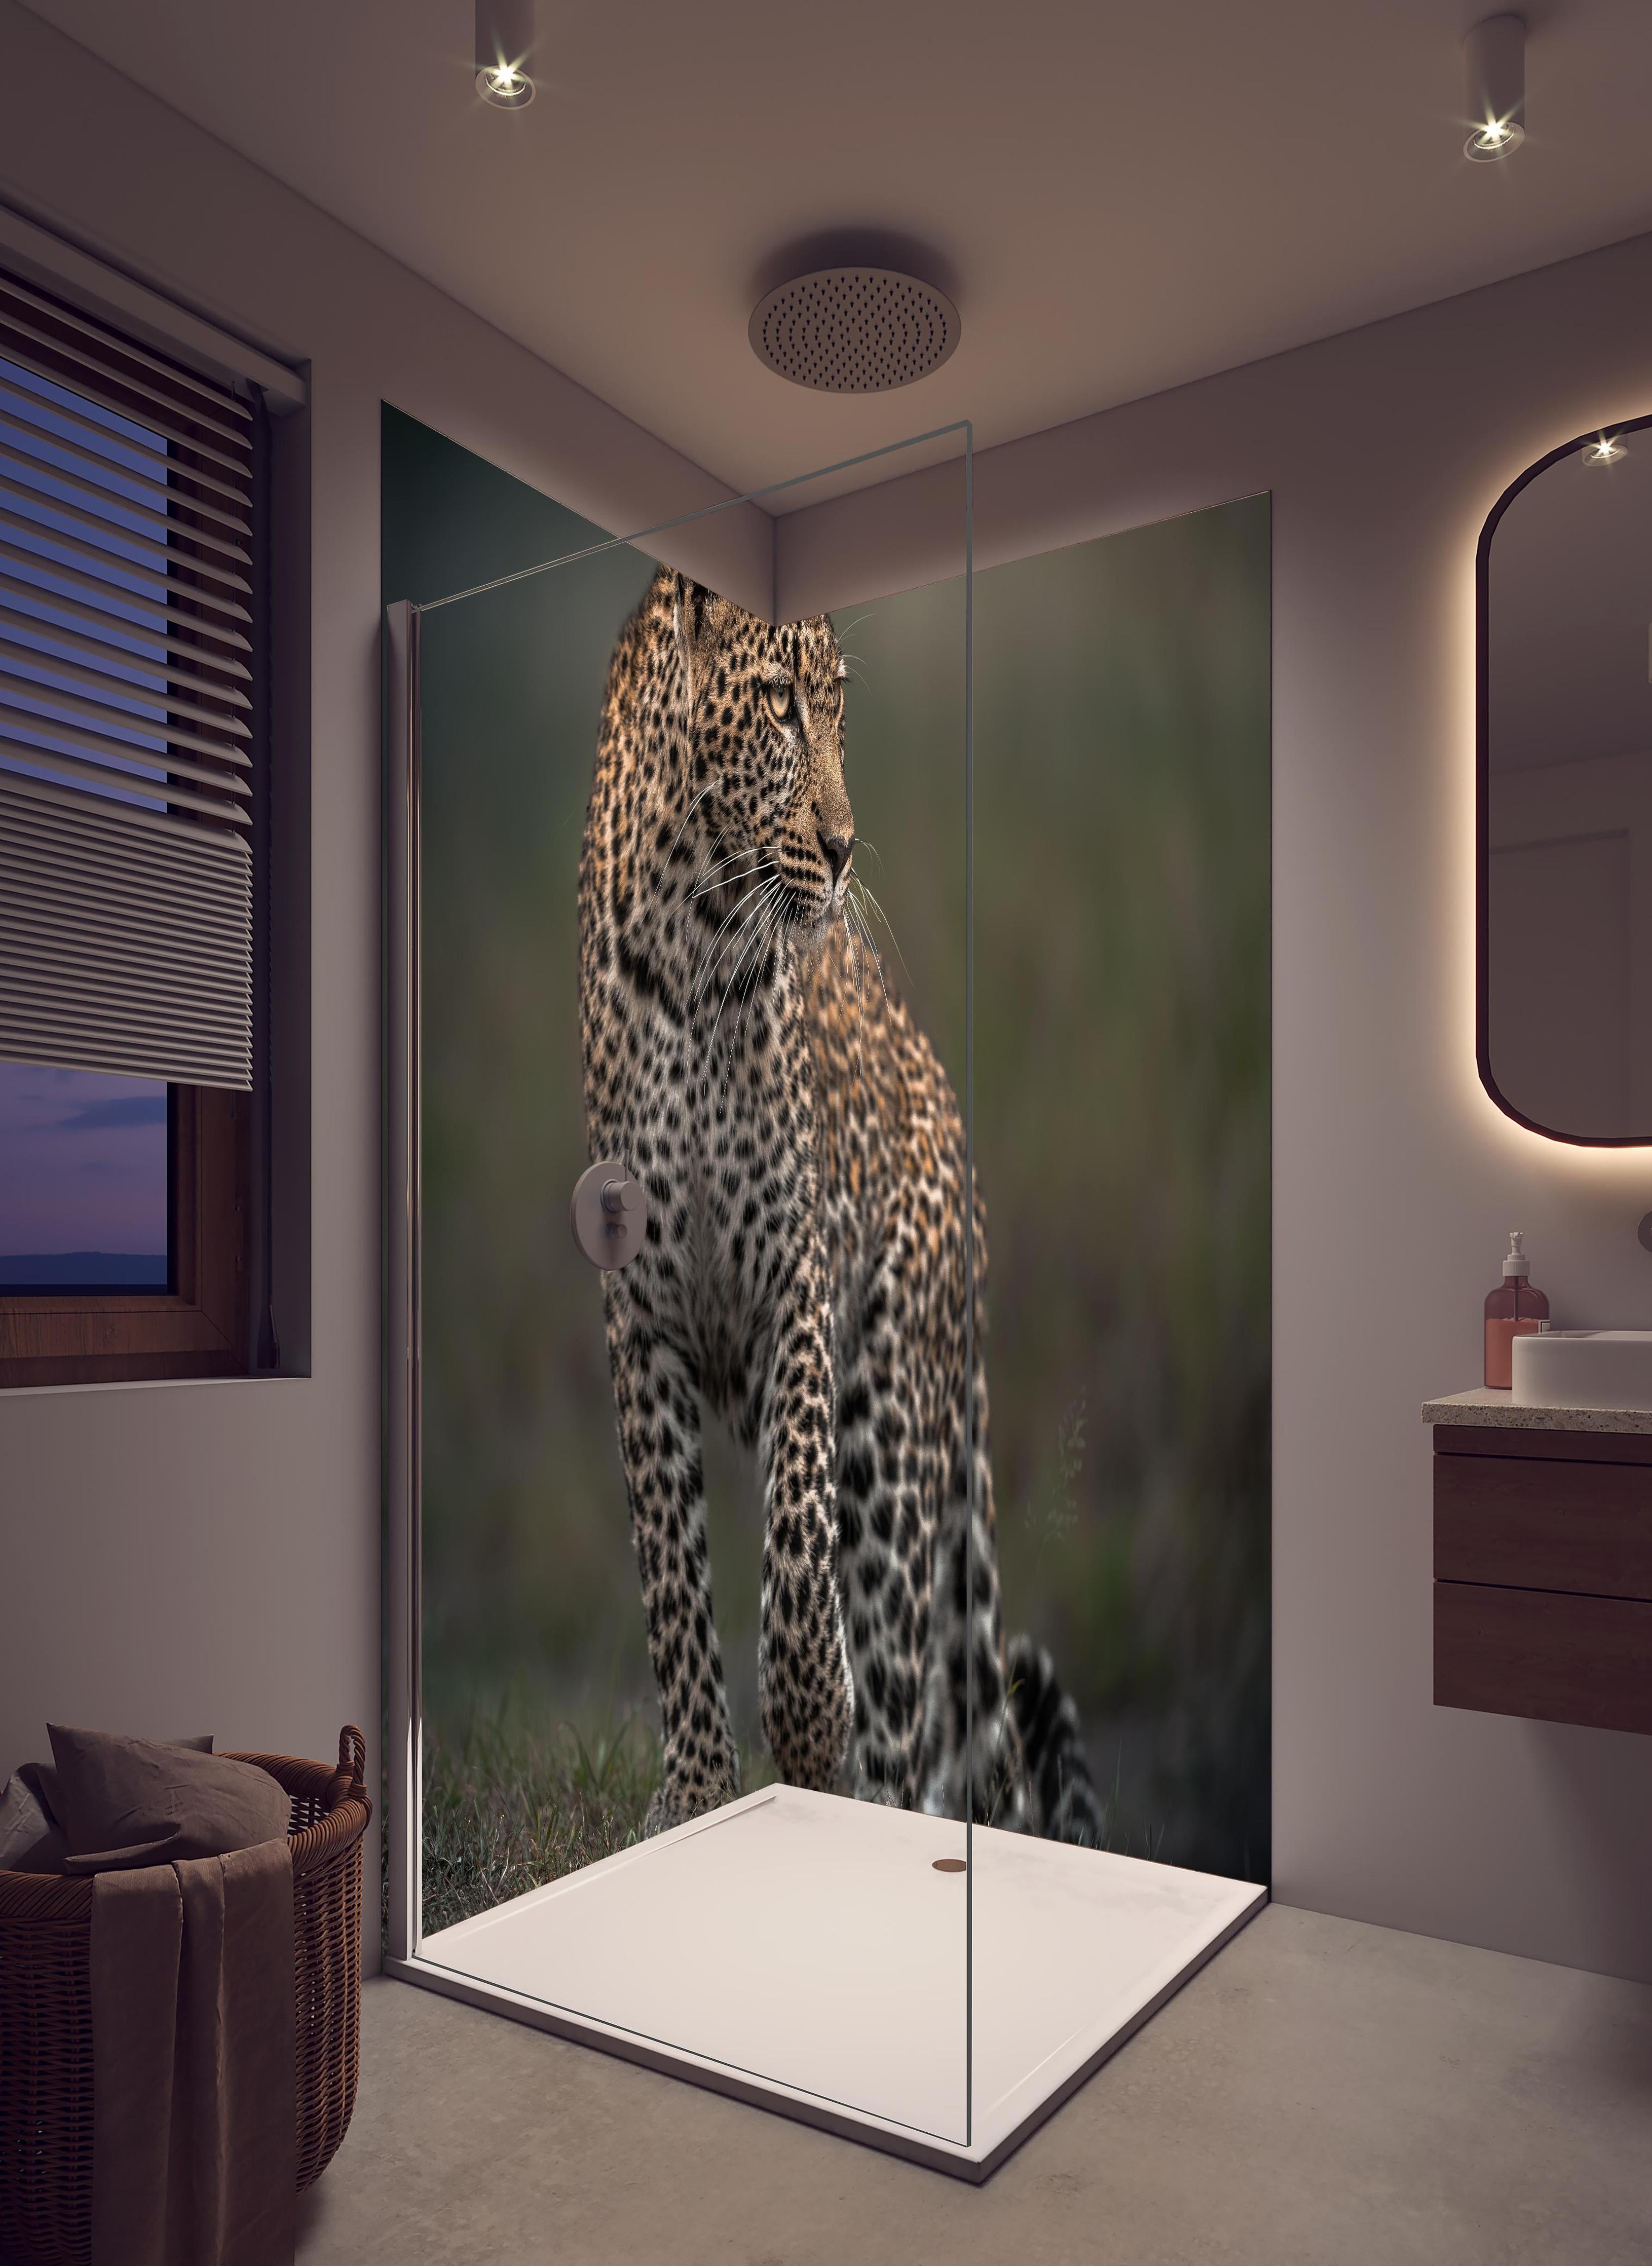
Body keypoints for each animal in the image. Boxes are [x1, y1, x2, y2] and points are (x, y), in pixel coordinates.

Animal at [577, 563, 1099, 1846]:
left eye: (837, 702)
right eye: (777, 705)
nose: (845, 845)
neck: (693, 941)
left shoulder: (798, 1286)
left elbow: (798, 1547)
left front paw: (808, 1730)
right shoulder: (637, 1320)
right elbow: (671, 1572)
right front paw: (698, 1790)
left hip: (896, 1419)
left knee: (917, 1708)